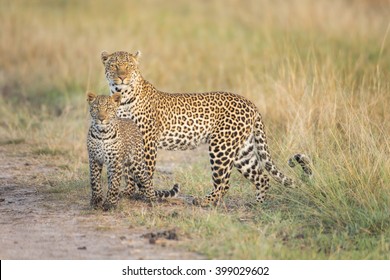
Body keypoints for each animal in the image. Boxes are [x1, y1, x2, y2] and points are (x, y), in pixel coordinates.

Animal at [100, 51, 310, 207]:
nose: (122, 77)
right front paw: (128, 192)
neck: (122, 97)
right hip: (243, 151)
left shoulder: (147, 140)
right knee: (262, 177)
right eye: (114, 66)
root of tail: (251, 104)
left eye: (130, 66)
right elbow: (129, 170)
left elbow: (146, 170)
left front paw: (144, 194)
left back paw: (204, 201)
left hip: (221, 147)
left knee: (224, 184)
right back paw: (258, 204)